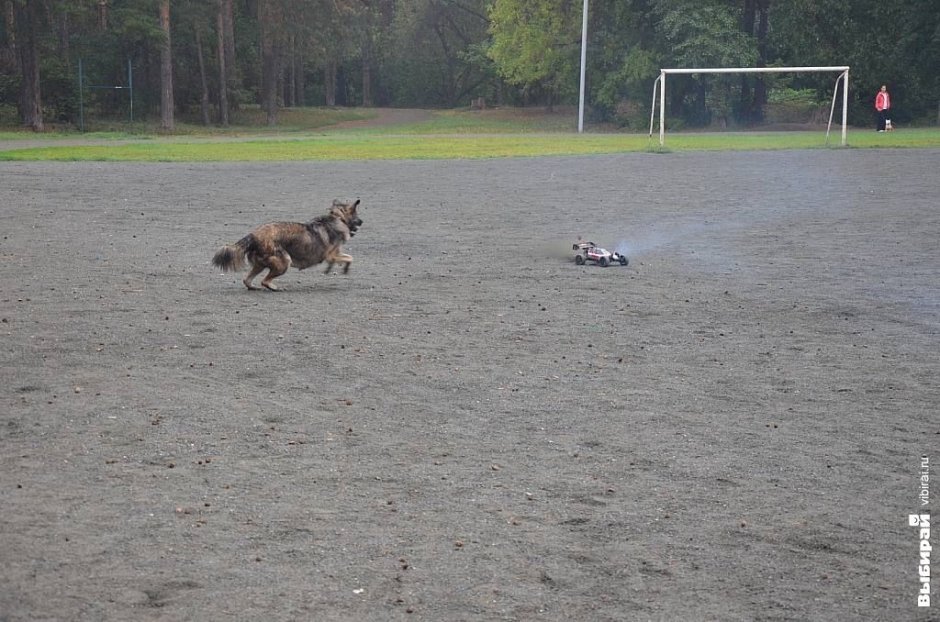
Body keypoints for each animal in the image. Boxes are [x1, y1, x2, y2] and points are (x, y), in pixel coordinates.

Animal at [213, 199, 364, 292]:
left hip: (260, 264)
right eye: (357, 215)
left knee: (247, 280)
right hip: (284, 261)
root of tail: (254, 235)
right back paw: (274, 287)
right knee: (264, 281)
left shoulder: (335, 254)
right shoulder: (331, 255)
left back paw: (254, 287)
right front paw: (344, 268)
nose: (362, 221)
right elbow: (350, 258)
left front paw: (332, 269)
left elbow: (346, 258)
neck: (338, 218)